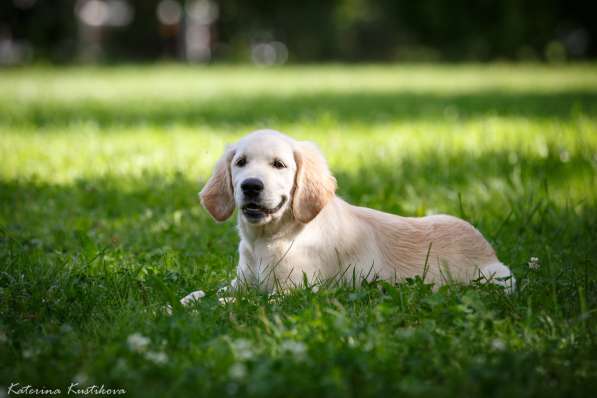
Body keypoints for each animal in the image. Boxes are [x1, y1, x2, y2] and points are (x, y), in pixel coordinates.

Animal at [186, 129, 512, 296]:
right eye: (240, 162)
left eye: (279, 164)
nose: (251, 186)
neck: (267, 240)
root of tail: (488, 248)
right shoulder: (242, 283)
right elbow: (203, 296)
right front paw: (181, 304)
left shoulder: (293, 293)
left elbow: (232, 304)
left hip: (496, 281)